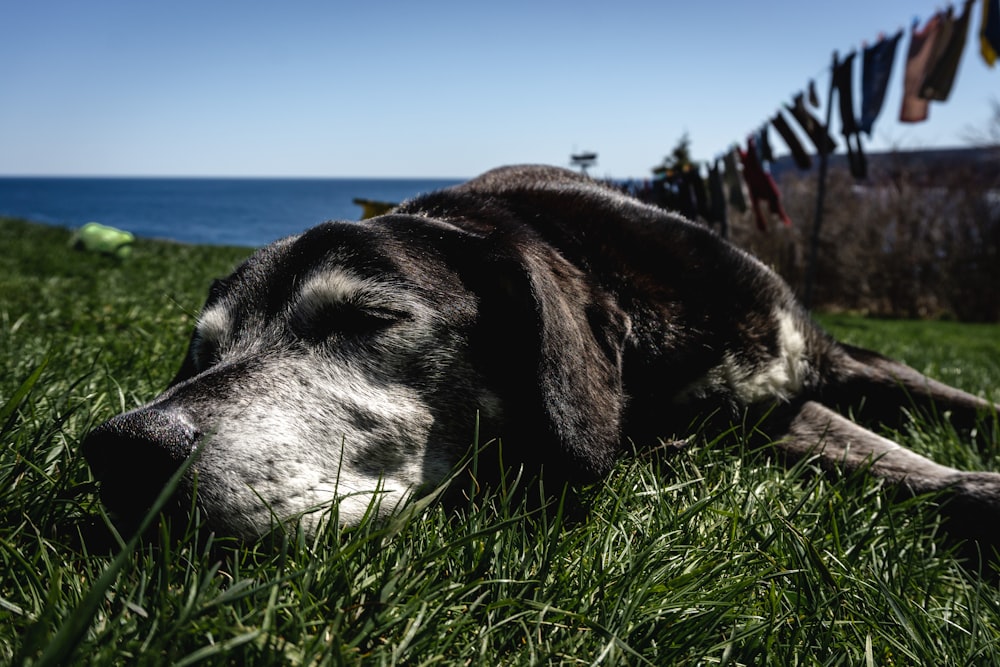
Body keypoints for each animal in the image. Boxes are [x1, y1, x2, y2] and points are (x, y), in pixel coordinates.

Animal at [84, 164, 1000, 544]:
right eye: (203, 351)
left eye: (368, 317)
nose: (123, 448)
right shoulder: (778, 421)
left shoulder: (825, 366)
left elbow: (952, 417)